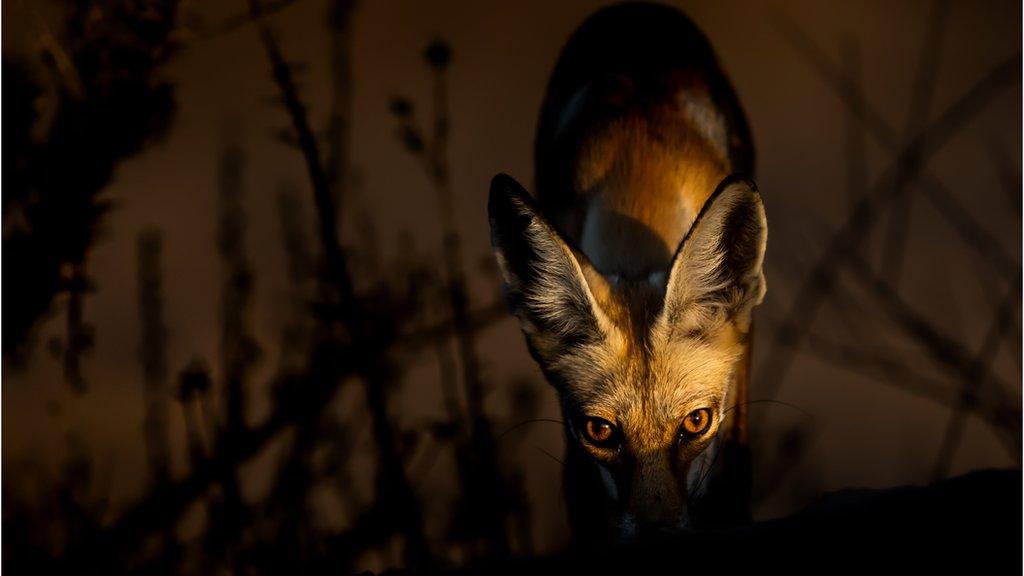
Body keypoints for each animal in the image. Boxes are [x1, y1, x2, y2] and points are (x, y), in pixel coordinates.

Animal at [489, 3, 770, 541]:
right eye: (601, 431)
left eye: (697, 423)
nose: (657, 537)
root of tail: (635, 8)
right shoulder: (573, 437)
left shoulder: (739, 374)